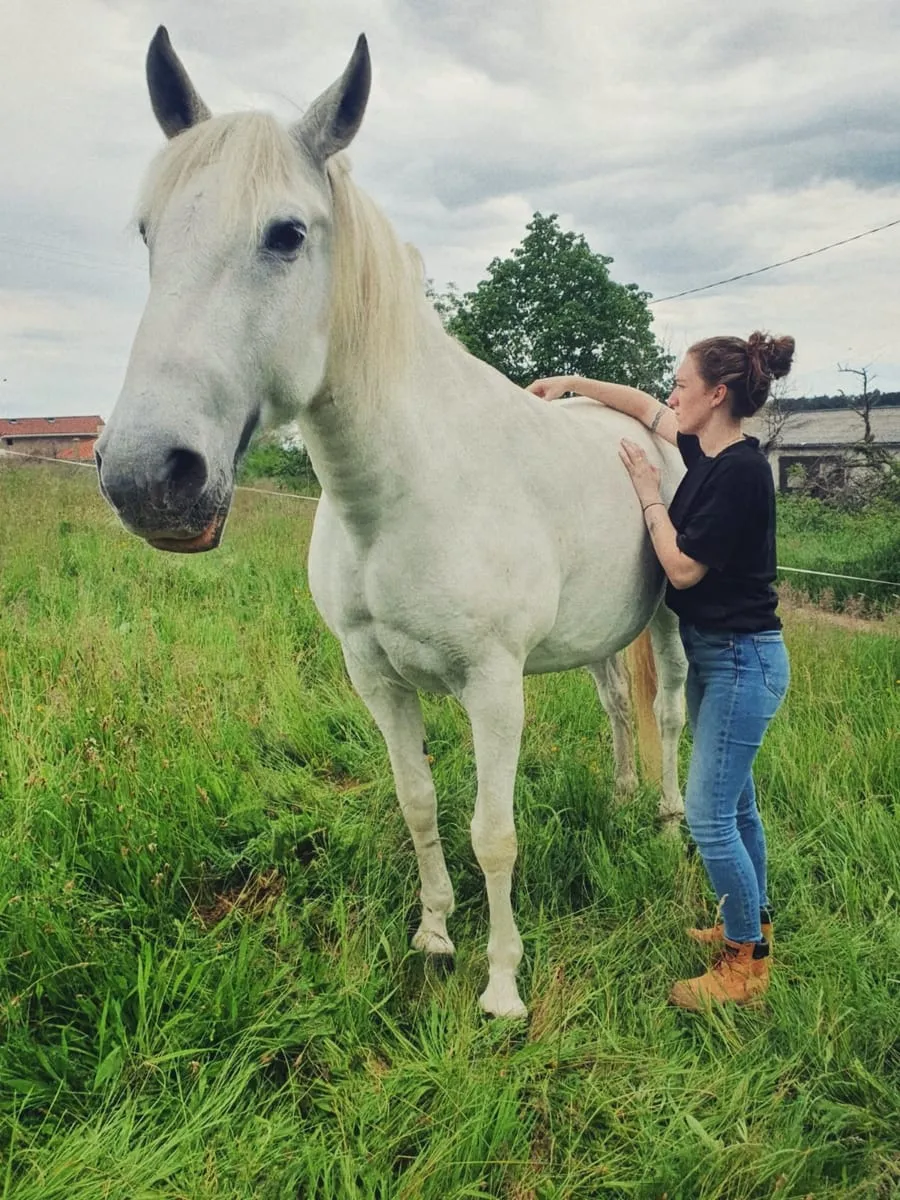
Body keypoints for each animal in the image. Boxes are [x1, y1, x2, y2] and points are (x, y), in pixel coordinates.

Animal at [95, 27, 688, 1018]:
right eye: (147, 232)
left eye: (287, 234)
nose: (148, 476)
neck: (401, 497)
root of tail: (647, 423)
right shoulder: (376, 679)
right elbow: (418, 805)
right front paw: (436, 938)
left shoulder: (494, 685)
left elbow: (494, 832)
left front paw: (501, 988)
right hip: (603, 635)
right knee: (617, 705)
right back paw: (618, 799)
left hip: (678, 618)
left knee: (673, 710)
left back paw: (674, 823)